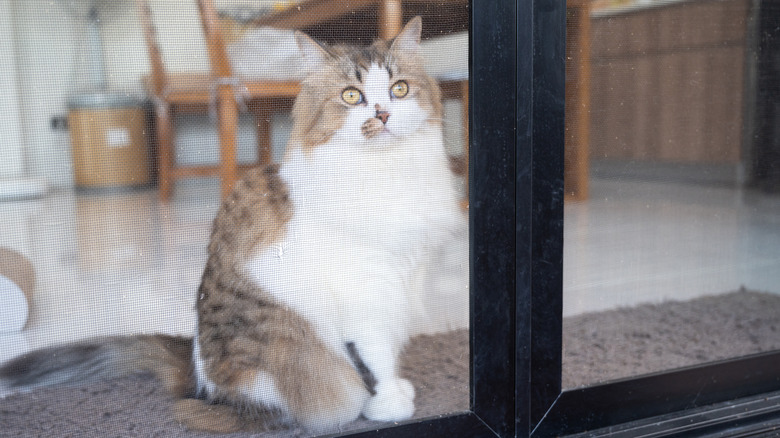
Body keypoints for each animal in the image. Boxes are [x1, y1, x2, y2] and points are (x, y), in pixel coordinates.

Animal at [0, 16, 470, 434]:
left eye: (399, 89)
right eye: (352, 96)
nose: (384, 114)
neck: (388, 173)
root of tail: (196, 379)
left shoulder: (404, 276)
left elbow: (388, 352)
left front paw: (398, 389)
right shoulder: (364, 291)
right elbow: (373, 357)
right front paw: (387, 404)